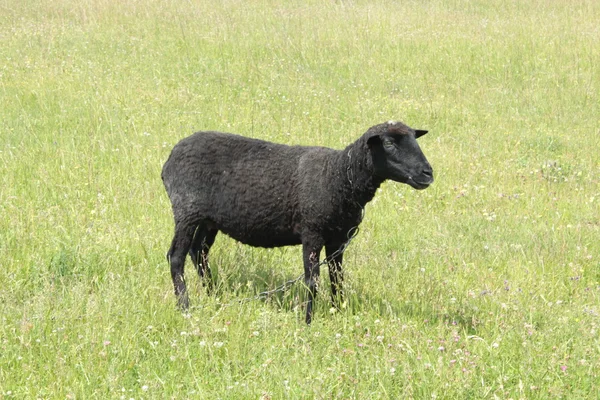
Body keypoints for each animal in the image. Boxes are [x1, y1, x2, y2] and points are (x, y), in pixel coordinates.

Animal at [162, 120, 434, 324]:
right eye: (388, 143)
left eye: (415, 140)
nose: (428, 173)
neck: (339, 175)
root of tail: (170, 157)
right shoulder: (312, 231)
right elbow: (312, 281)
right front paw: (308, 321)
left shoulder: (338, 239)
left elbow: (337, 277)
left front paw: (338, 312)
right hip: (186, 211)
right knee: (176, 256)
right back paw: (185, 307)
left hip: (208, 219)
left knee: (199, 252)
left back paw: (214, 295)